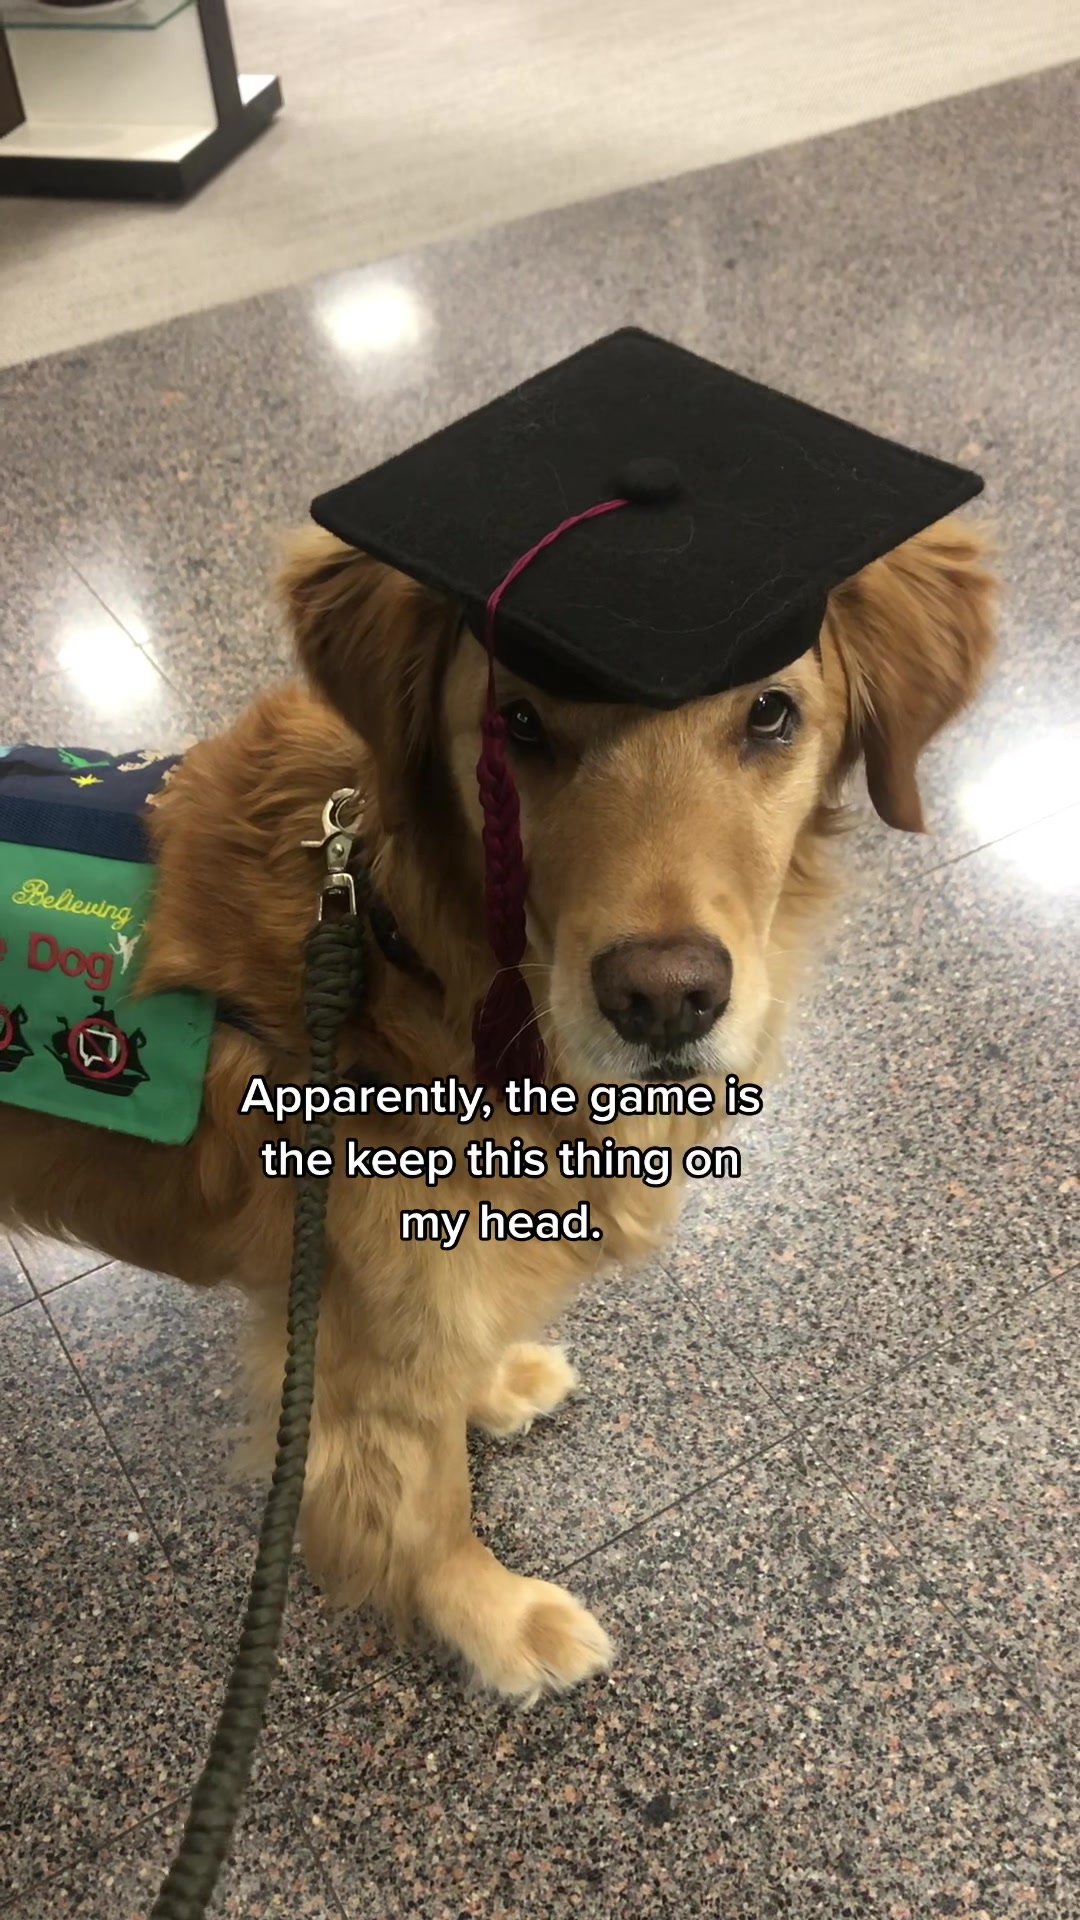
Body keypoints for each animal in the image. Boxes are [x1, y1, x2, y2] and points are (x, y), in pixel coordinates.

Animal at [0, 516, 997, 1700]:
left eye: (769, 713)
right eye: (516, 725)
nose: (666, 998)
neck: (414, 966)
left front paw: (493, 1380)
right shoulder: (358, 1356)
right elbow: (429, 1508)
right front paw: (497, 1619)